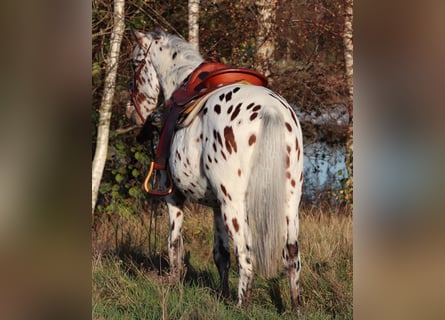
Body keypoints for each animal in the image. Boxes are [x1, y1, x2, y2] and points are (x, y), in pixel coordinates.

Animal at [126, 29, 304, 312]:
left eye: (135, 64)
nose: (130, 111)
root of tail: (271, 110)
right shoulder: (216, 206)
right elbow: (221, 254)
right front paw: (221, 294)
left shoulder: (173, 196)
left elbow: (174, 243)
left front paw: (173, 284)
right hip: (290, 203)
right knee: (292, 256)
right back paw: (295, 306)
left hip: (235, 205)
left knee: (246, 255)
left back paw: (242, 305)